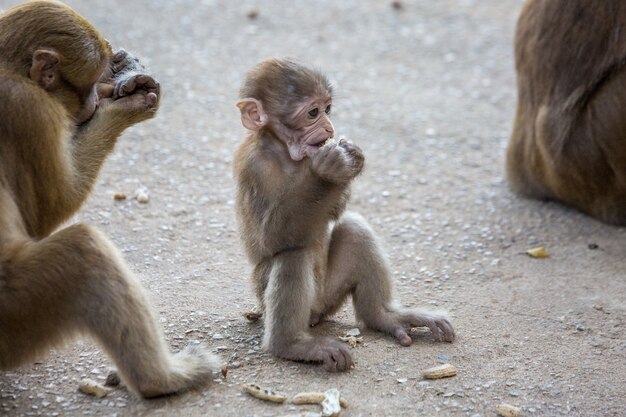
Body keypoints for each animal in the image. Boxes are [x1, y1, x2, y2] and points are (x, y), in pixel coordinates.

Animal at [0, 0, 219, 396]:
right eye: (85, 86)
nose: (91, 100)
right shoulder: (31, 111)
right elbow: (43, 215)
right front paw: (123, 109)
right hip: (14, 313)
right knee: (84, 251)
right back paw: (162, 379)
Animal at [234, 59, 454, 370]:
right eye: (313, 113)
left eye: (327, 108)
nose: (329, 126)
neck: (284, 151)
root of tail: (316, 314)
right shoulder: (256, 166)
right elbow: (270, 238)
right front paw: (328, 170)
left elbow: (337, 213)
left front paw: (352, 159)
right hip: (272, 295)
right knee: (292, 255)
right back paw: (292, 345)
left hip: (330, 296)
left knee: (354, 228)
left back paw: (385, 316)